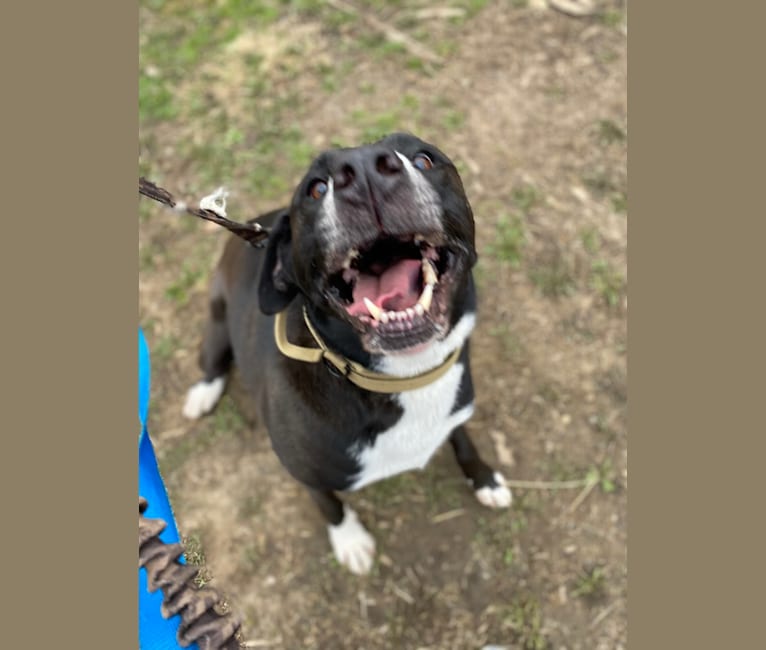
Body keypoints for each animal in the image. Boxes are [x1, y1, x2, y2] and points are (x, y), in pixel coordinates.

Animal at [183, 132, 512, 572]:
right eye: (316, 189)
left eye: (424, 159)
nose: (364, 169)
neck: (405, 376)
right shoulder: (303, 470)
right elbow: (328, 503)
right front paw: (350, 540)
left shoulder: (455, 409)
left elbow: (464, 439)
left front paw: (484, 478)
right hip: (218, 320)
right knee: (213, 361)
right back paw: (203, 394)